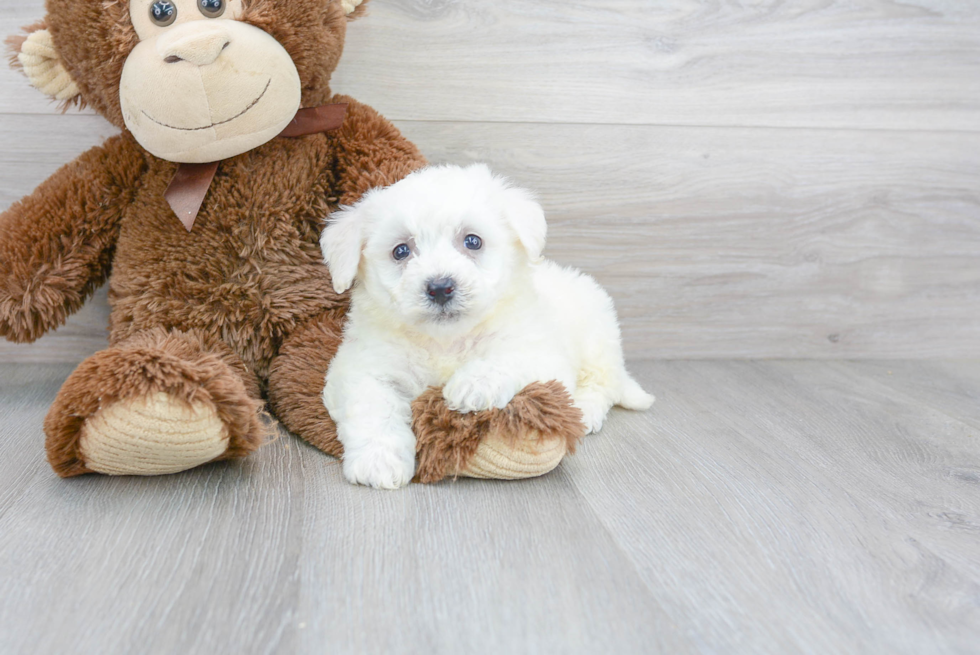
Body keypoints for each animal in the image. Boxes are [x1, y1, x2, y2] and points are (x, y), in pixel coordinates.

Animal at [320, 165, 652, 486]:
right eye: (401, 251)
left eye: (472, 241)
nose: (440, 287)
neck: (445, 341)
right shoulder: (362, 366)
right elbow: (373, 405)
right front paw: (378, 461)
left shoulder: (542, 353)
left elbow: (509, 358)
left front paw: (473, 384)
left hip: (598, 336)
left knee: (602, 384)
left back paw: (585, 409)